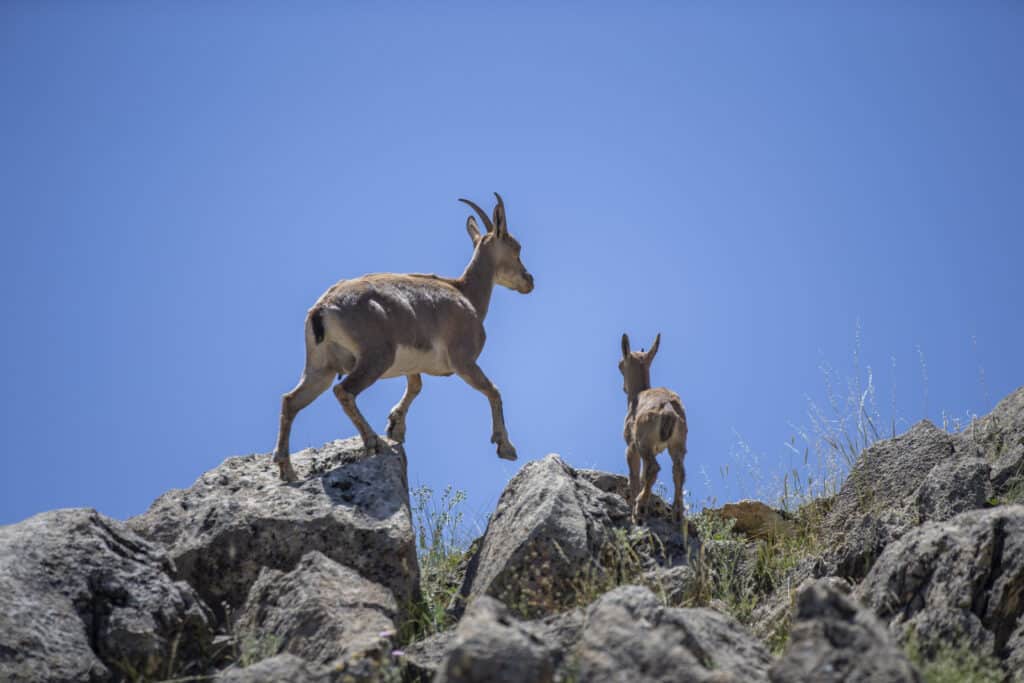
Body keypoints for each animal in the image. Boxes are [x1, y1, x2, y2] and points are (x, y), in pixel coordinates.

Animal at [272, 192, 536, 481]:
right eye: (516, 248)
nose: (529, 281)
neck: (467, 295)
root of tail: (322, 308)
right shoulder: (463, 361)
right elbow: (493, 390)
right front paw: (506, 447)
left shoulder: (413, 364)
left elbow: (416, 386)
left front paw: (396, 426)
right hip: (376, 357)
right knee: (343, 391)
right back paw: (373, 442)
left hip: (322, 366)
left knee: (291, 400)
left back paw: (287, 470)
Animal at [614, 335, 688, 524]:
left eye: (620, 364)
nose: (623, 387)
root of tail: (668, 409)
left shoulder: (631, 446)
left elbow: (634, 476)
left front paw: (633, 503)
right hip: (678, 443)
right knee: (678, 471)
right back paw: (677, 514)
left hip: (643, 441)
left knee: (654, 468)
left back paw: (639, 510)